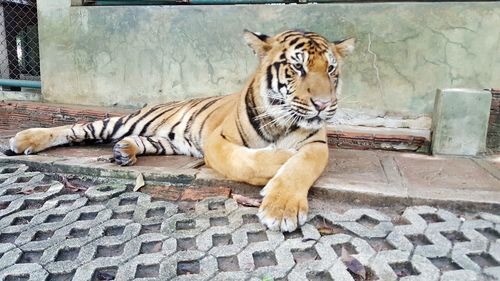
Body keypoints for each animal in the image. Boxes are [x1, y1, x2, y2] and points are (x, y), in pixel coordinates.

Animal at [5, 30, 354, 232]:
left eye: (331, 69)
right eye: (297, 67)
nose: (324, 104)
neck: (283, 119)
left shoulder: (317, 145)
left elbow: (300, 165)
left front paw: (283, 206)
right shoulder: (218, 141)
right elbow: (249, 160)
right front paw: (279, 161)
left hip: (163, 140)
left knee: (137, 141)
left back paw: (123, 152)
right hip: (121, 122)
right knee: (76, 128)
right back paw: (23, 139)